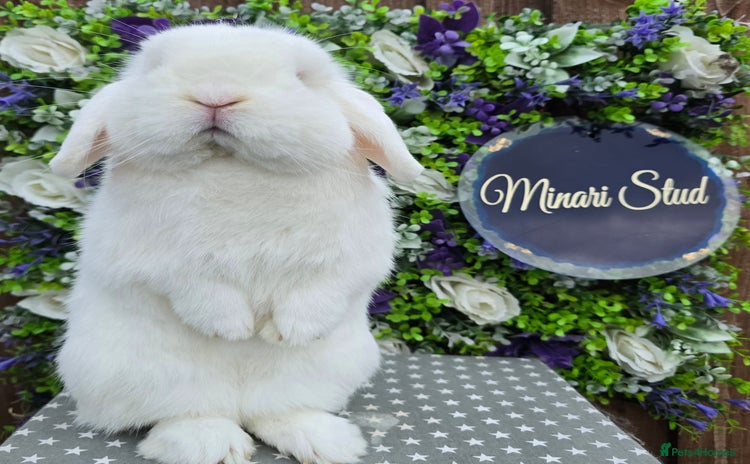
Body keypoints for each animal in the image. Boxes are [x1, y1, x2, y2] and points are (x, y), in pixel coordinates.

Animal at [50, 23, 423, 464]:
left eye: (301, 77)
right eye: (155, 68)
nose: (215, 94)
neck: (232, 165)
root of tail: (238, 404)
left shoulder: (352, 256)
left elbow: (322, 291)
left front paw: (291, 333)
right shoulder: (158, 259)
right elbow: (200, 290)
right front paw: (232, 331)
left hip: (316, 375)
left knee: (276, 412)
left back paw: (324, 440)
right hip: (143, 378)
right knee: (181, 415)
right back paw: (211, 443)